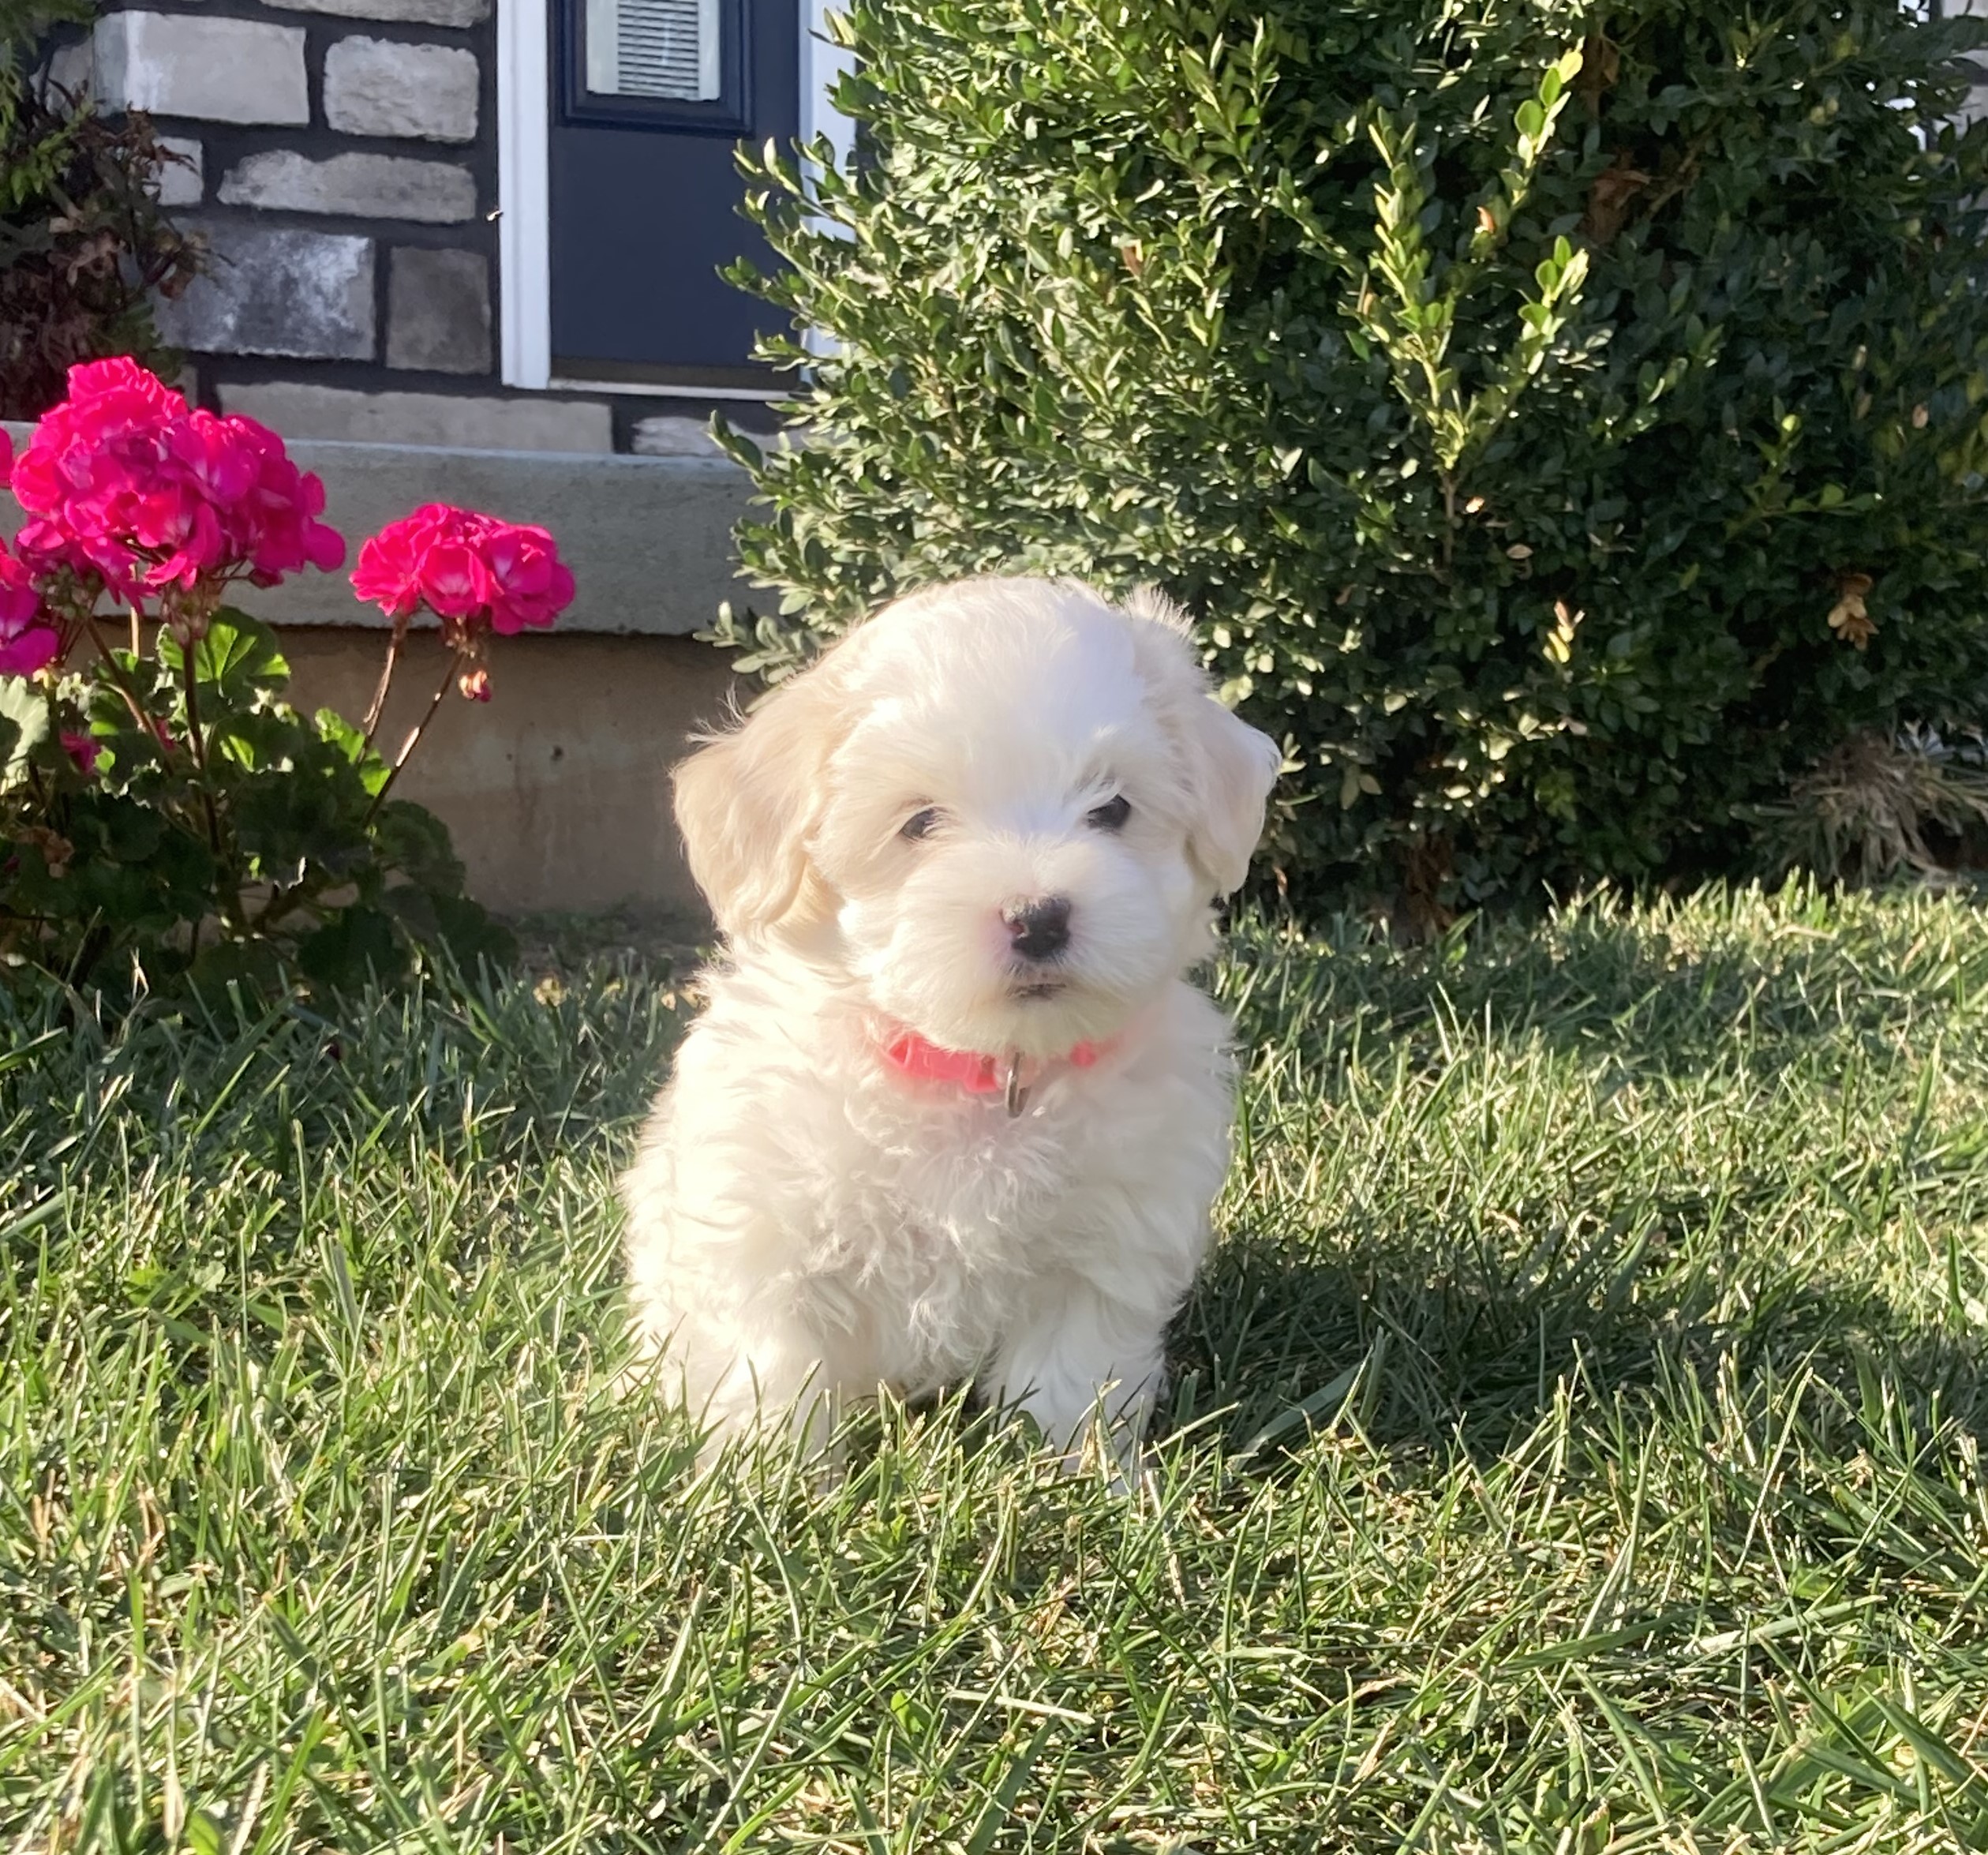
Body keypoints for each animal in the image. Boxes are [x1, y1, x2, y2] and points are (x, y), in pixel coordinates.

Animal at [612, 576, 1280, 1463]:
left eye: (1111, 809)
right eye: (920, 822)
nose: (1038, 918)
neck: (984, 1070)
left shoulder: (1101, 1248)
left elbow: (1075, 1376)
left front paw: (1080, 1476)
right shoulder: (765, 1234)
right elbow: (773, 1374)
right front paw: (770, 1481)